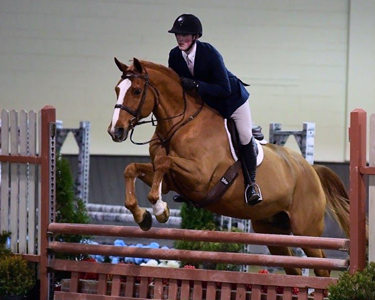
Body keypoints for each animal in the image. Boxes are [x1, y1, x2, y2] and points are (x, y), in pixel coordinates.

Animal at [107, 56, 352, 276]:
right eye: (117, 89)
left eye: (136, 91)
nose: (115, 131)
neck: (181, 125)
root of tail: (311, 170)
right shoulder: (169, 181)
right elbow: (133, 168)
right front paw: (143, 216)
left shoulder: (200, 178)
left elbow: (163, 162)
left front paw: (159, 209)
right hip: (273, 230)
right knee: (293, 267)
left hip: (306, 230)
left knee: (322, 266)